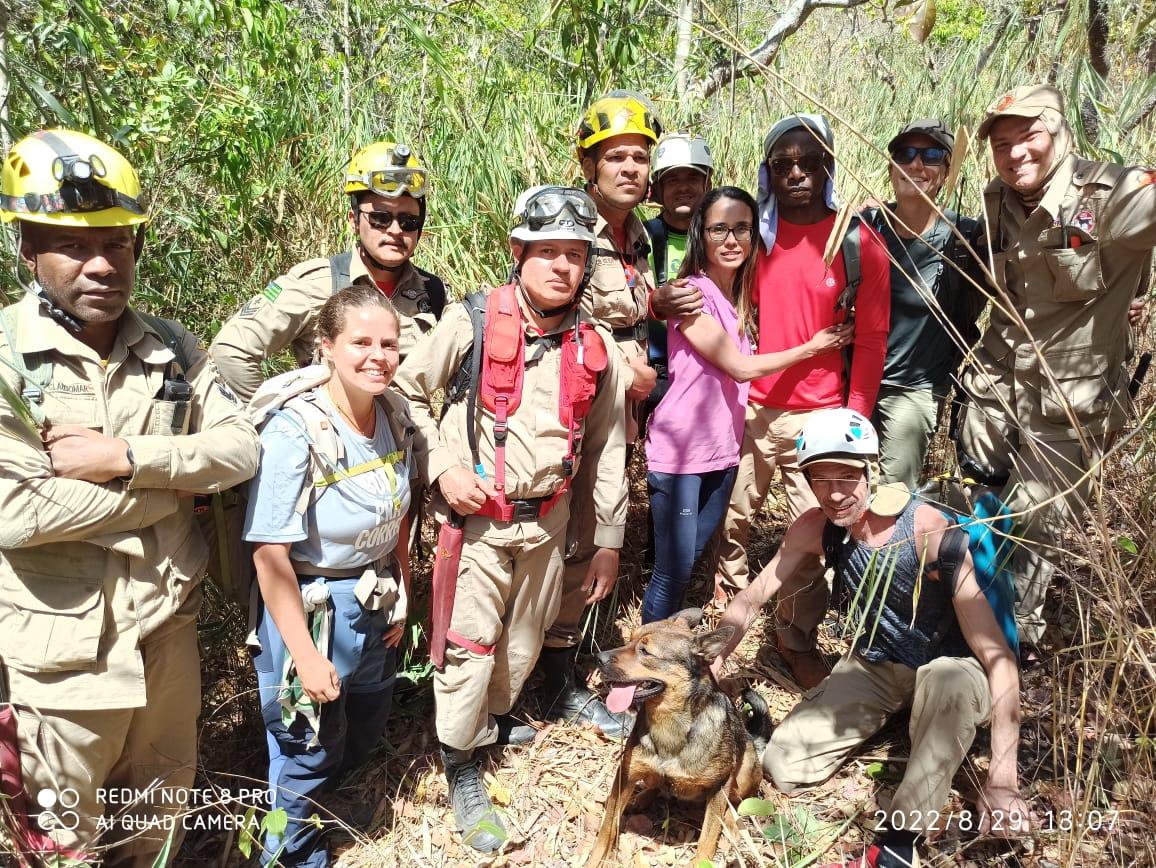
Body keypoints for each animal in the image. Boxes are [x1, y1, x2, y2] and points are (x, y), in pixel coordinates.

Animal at [582, 605, 772, 864]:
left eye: (645, 651)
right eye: (630, 640)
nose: (597, 658)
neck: (670, 726)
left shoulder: (719, 786)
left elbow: (707, 839)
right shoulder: (625, 774)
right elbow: (606, 829)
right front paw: (596, 859)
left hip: (745, 769)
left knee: (735, 803)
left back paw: (733, 823)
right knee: (656, 786)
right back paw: (641, 798)